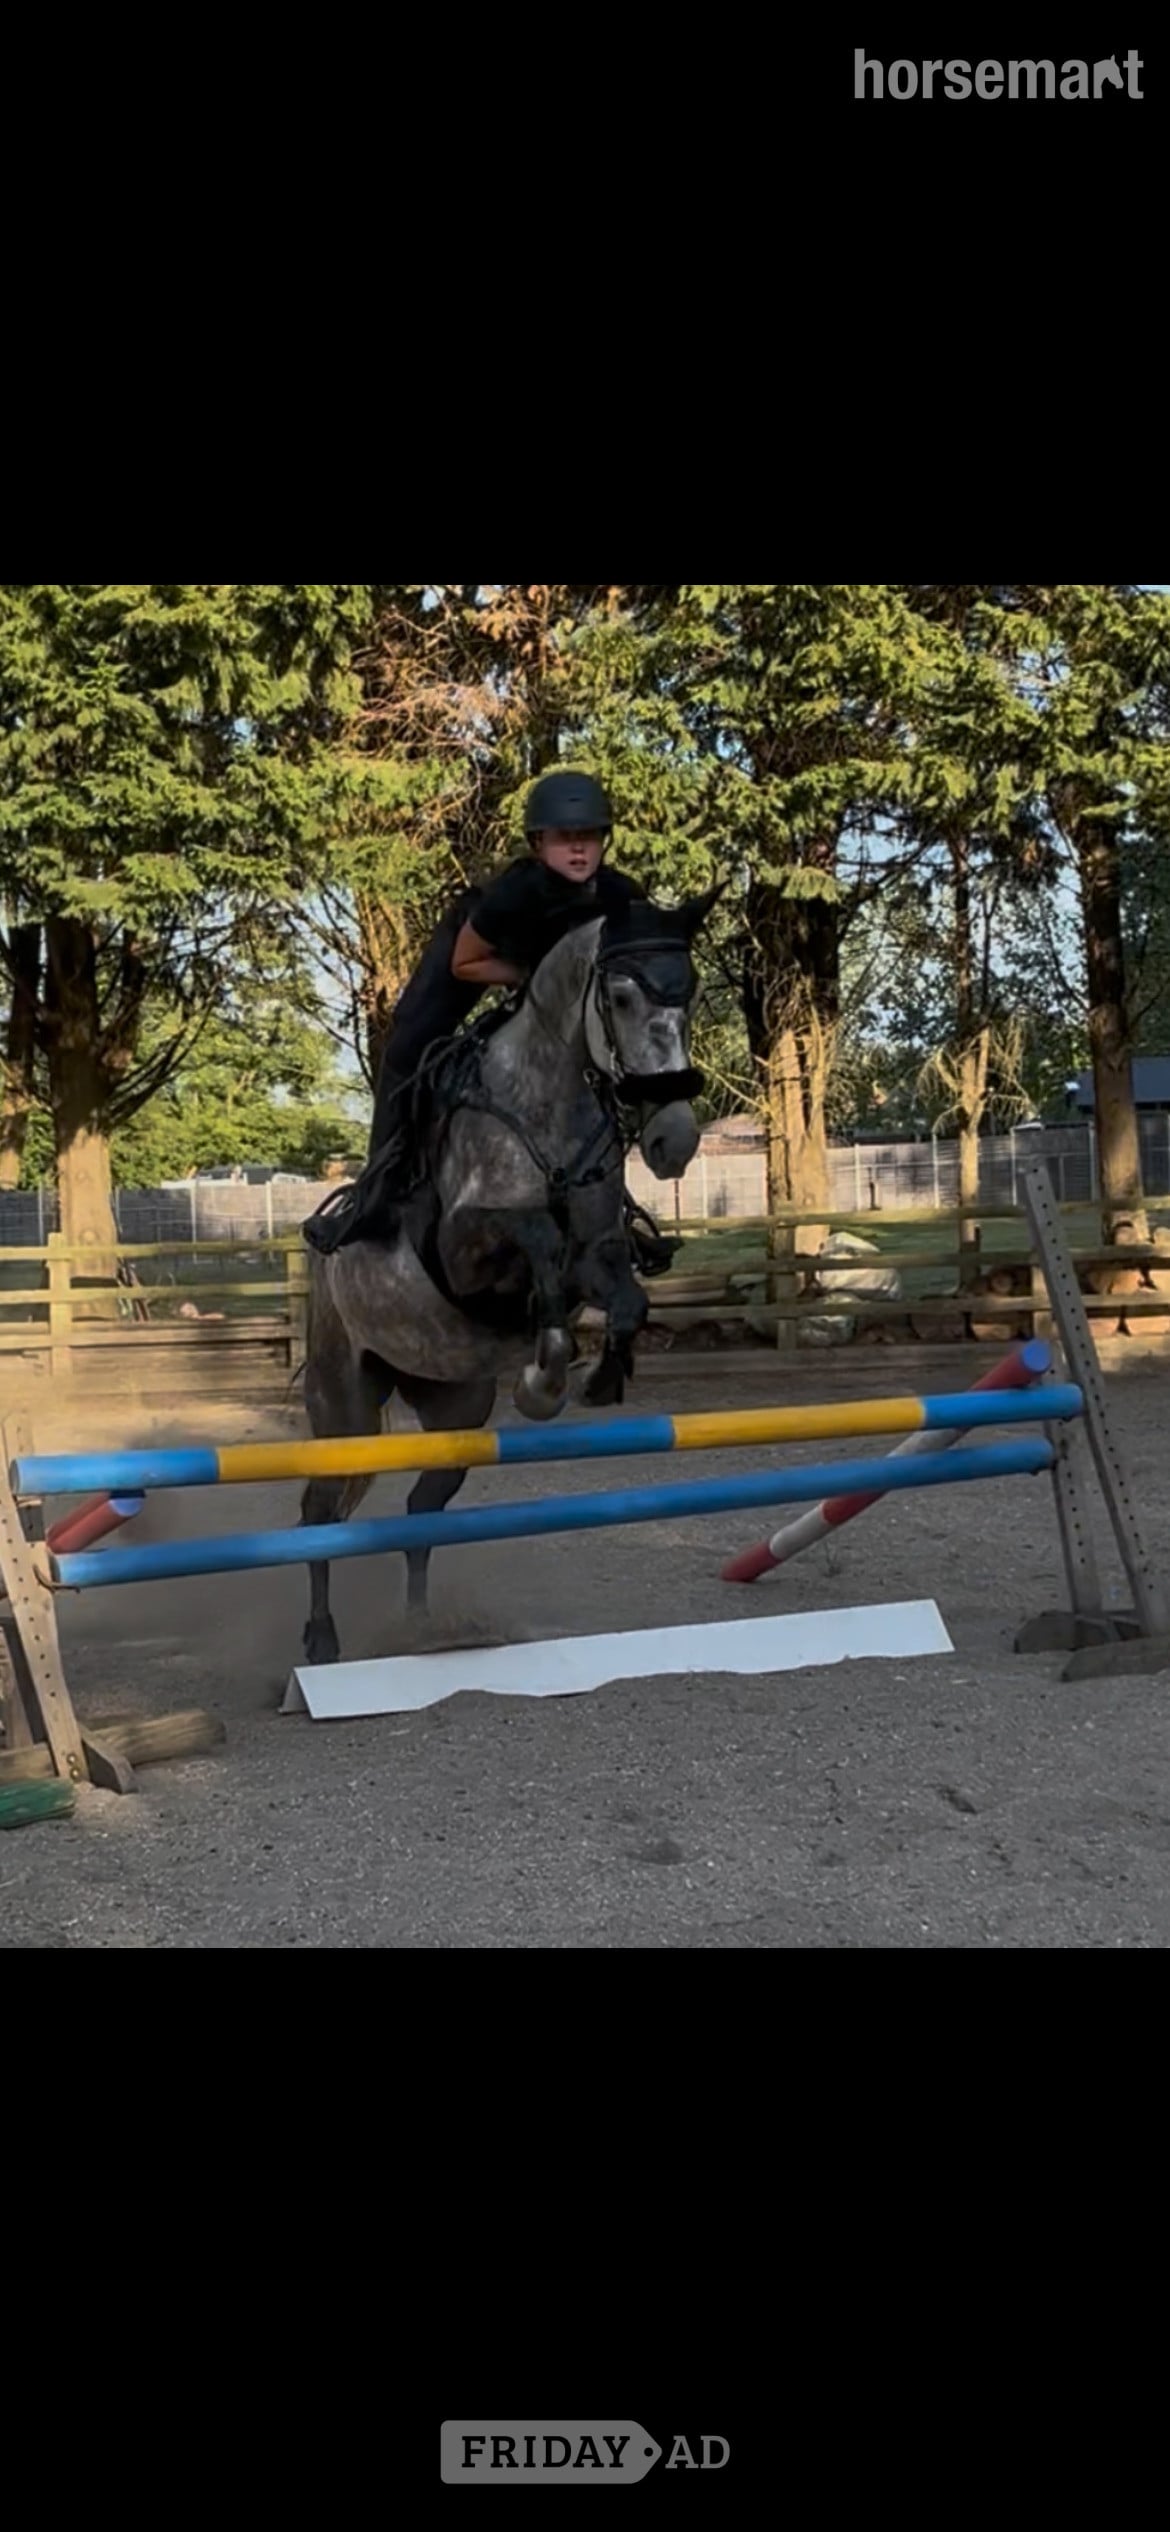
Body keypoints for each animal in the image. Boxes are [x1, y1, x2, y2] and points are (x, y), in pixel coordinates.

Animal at [298, 889, 720, 1663]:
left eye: (694, 994)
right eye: (620, 996)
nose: (673, 1139)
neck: (548, 1101)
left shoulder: (598, 1252)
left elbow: (622, 1296)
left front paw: (598, 1377)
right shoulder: (466, 1252)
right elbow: (538, 1240)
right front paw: (545, 1376)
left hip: (455, 1408)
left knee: (419, 1512)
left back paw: (423, 1629)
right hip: (344, 1403)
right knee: (319, 1511)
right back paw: (320, 1640)